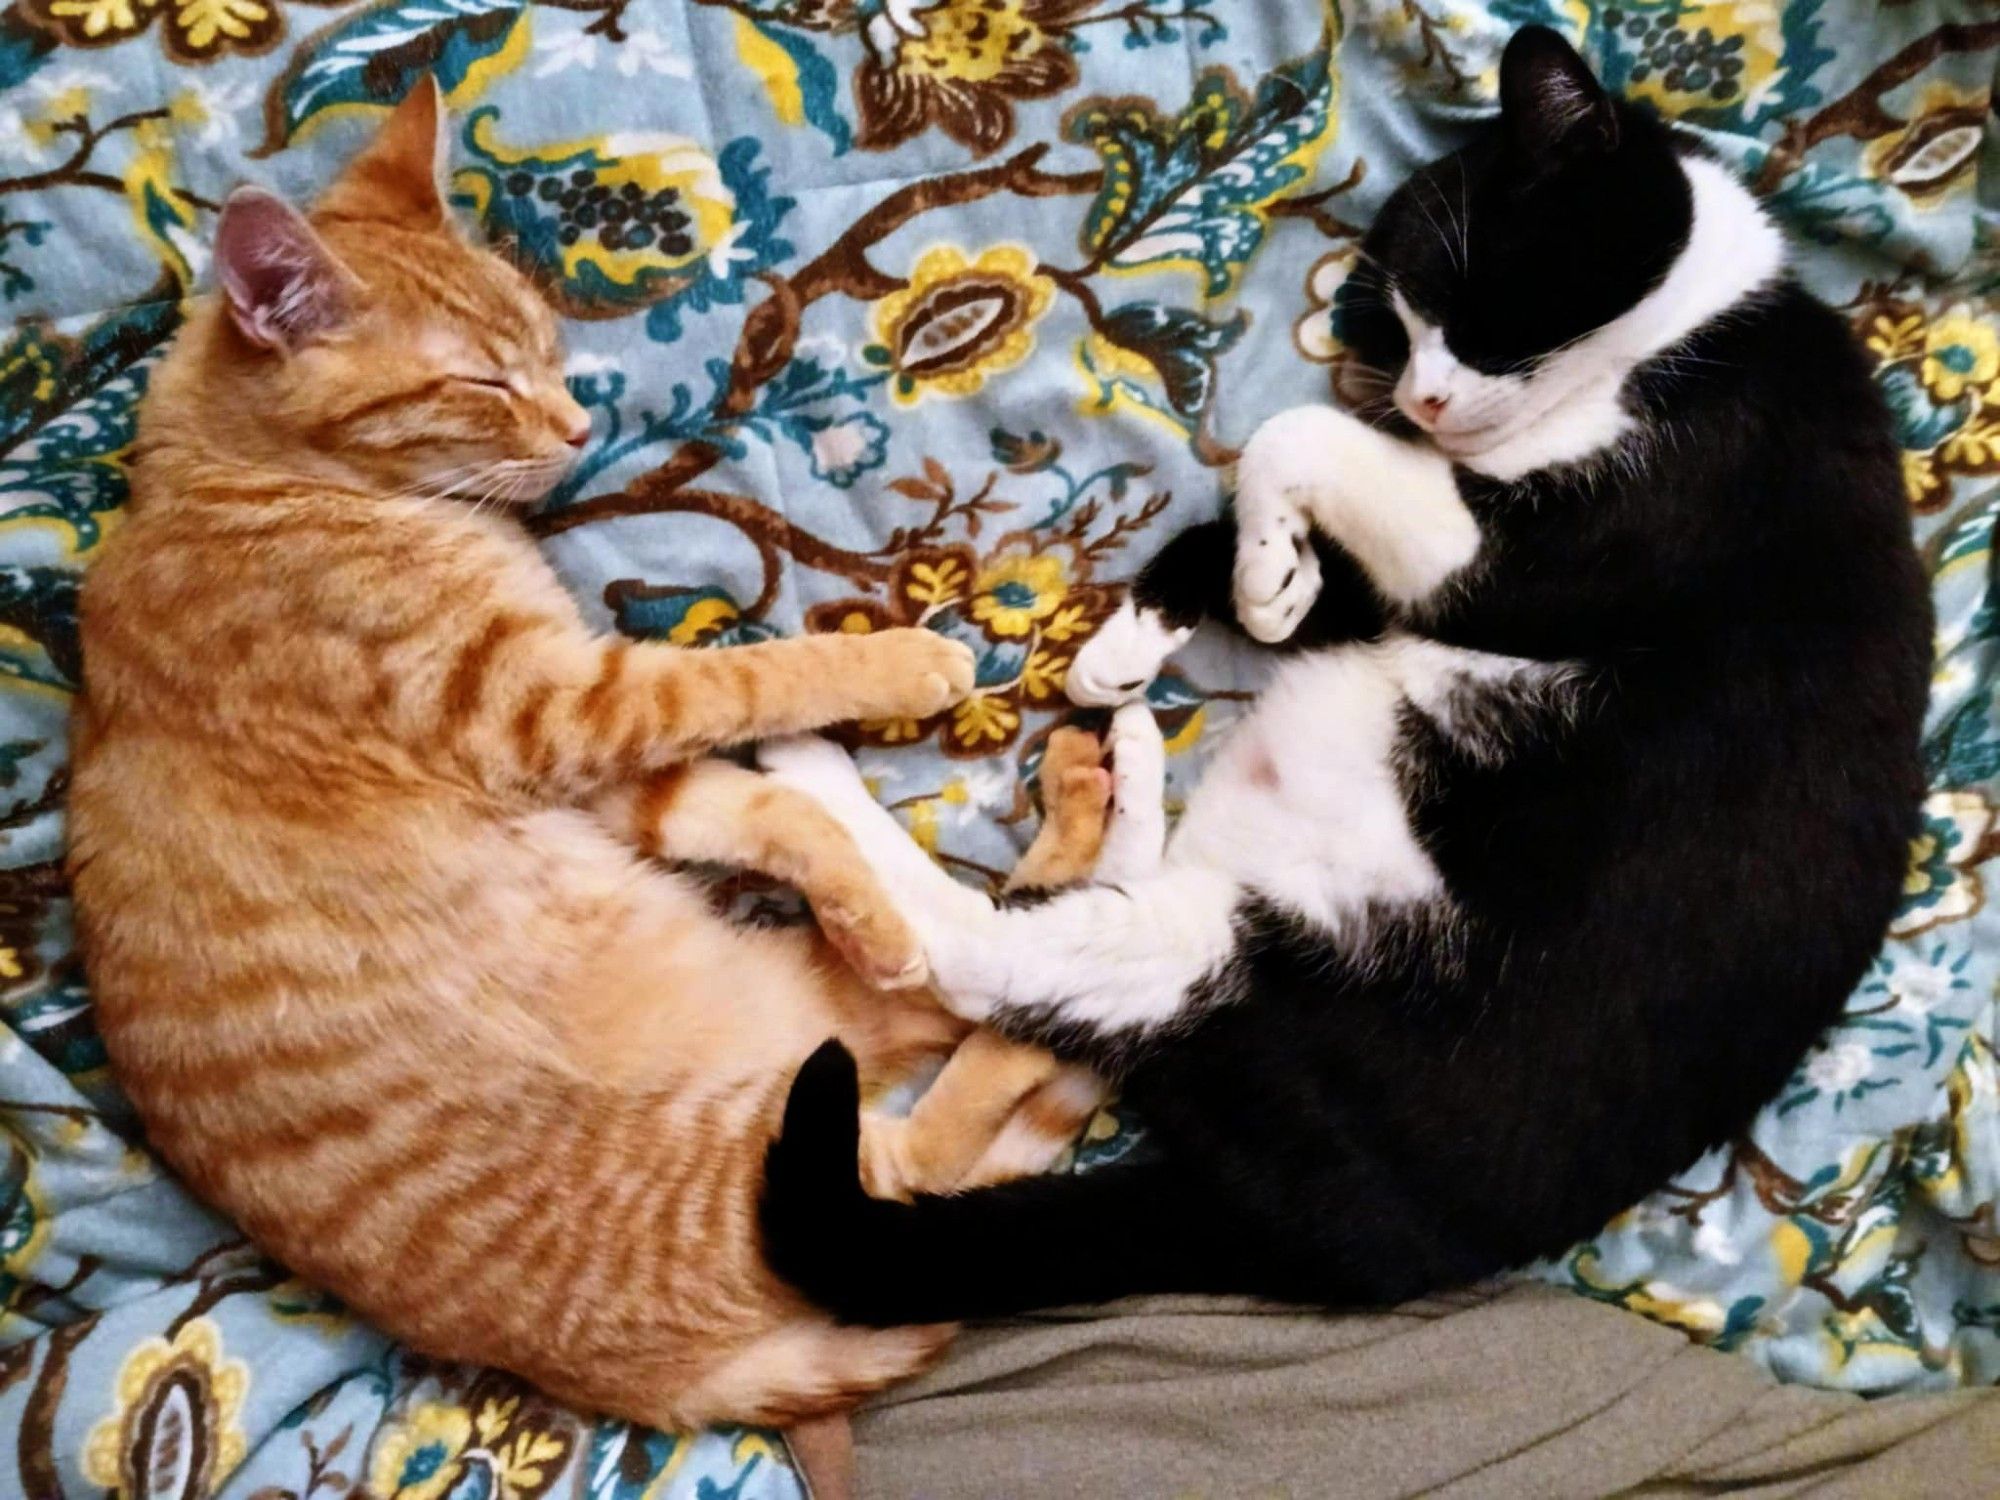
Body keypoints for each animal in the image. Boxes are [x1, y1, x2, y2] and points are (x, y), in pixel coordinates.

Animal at [70, 79, 1112, 1432]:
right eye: (480, 380)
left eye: (546, 348)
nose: (575, 426)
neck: (251, 482)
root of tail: (666, 1388)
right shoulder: (555, 708)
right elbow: (748, 675)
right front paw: (896, 664)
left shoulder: (598, 768)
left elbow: (752, 811)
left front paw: (848, 892)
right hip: (773, 1146)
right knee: (925, 1138)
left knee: (968, 972)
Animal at [752, 26, 1936, 1328]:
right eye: (1394, 330)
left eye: (1468, 308)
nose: (1420, 398)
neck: (1694, 326)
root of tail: (1324, 1245)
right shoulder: (1427, 565)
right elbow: (1273, 538)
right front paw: (1183, 612)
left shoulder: (1563, 546)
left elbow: (1297, 441)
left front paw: (1259, 563)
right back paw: (1119, 760)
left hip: (1244, 984)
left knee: (967, 953)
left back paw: (808, 773)